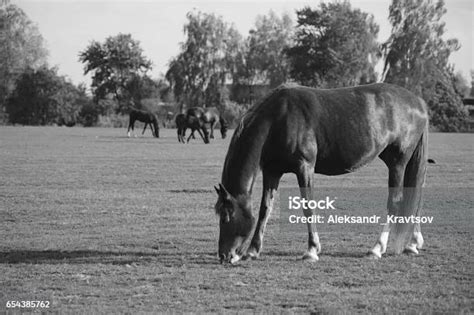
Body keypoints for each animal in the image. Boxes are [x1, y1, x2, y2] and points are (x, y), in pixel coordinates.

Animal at [215, 83, 430, 264]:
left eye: (226, 216)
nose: (225, 255)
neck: (278, 118)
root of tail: (418, 102)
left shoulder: (304, 167)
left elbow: (308, 207)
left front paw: (312, 250)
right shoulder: (272, 171)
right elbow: (264, 209)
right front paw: (253, 250)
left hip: (398, 163)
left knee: (395, 201)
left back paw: (377, 248)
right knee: (417, 194)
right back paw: (413, 243)